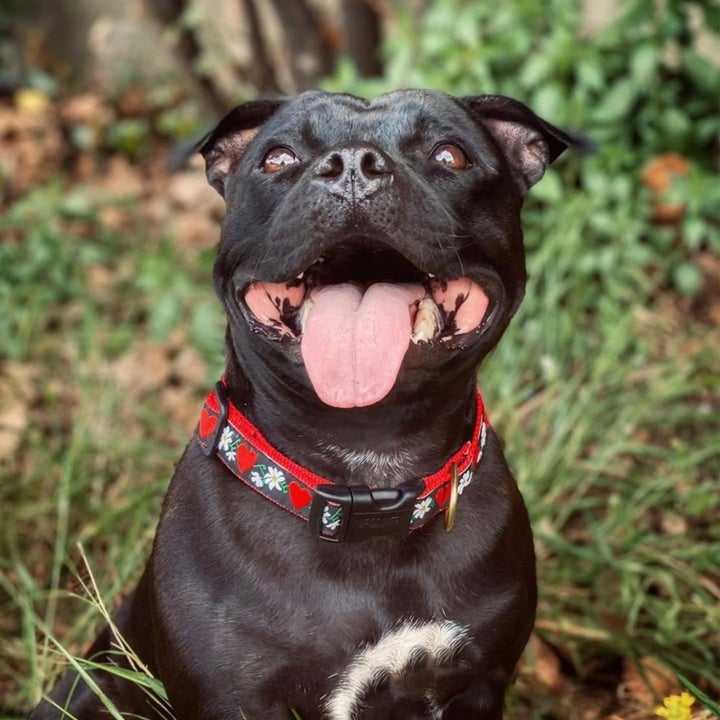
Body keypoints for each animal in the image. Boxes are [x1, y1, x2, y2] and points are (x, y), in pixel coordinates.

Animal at [32, 91, 572, 720]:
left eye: (450, 154)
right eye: (278, 158)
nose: (355, 164)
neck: (370, 472)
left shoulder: (479, 680)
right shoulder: (234, 699)